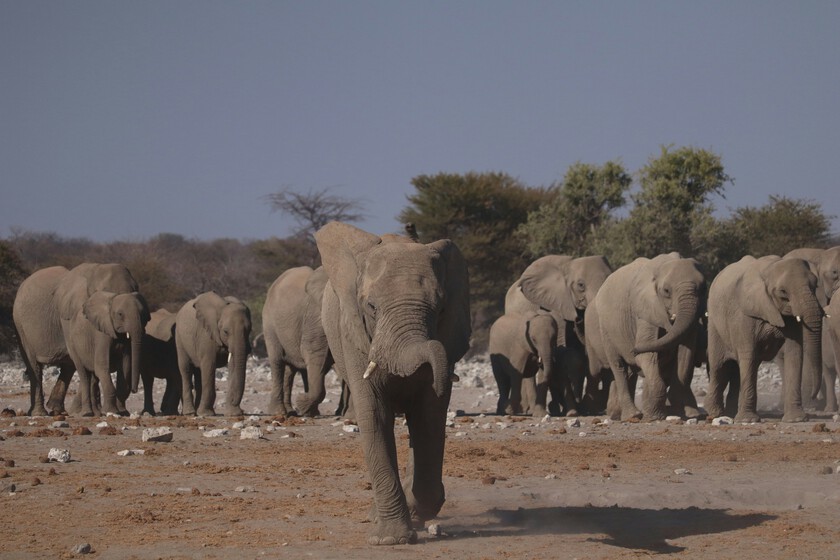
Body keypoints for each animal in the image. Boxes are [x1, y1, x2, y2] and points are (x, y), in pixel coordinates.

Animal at [262, 265, 333, 417]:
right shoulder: (316, 317)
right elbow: (313, 352)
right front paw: (301, 402)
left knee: (293, 370)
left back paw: (300, 412)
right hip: (269, 324)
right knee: (277, 362)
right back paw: (280, 412)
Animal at [315, 222, 470, 545]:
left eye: (440, 309)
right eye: (371, 307)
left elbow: (429, 416)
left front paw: (419, 511)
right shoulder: (353, 336)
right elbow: (374, 415)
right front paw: (391, 540)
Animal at [585, 253, 705, 421]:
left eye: (704, 288)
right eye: (666, 291)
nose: (633, 350)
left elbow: (686, 353)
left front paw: (689, 414)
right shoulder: (644, 310)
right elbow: (646, 353)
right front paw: (655, 417)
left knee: (631, 372)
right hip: (606, 328)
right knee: (619, 367)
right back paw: (632, 416)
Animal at [706, 255, 822, 423]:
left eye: (814, 286)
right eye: (783, 292)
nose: (813, 397)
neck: (771, 267)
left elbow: (794, 353)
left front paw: (796, 419)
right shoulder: (745, 315)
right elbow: (748, 354)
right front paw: (747, 420)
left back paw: (730, 413)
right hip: (714, 324)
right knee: (719, 366)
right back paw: (715, 413)